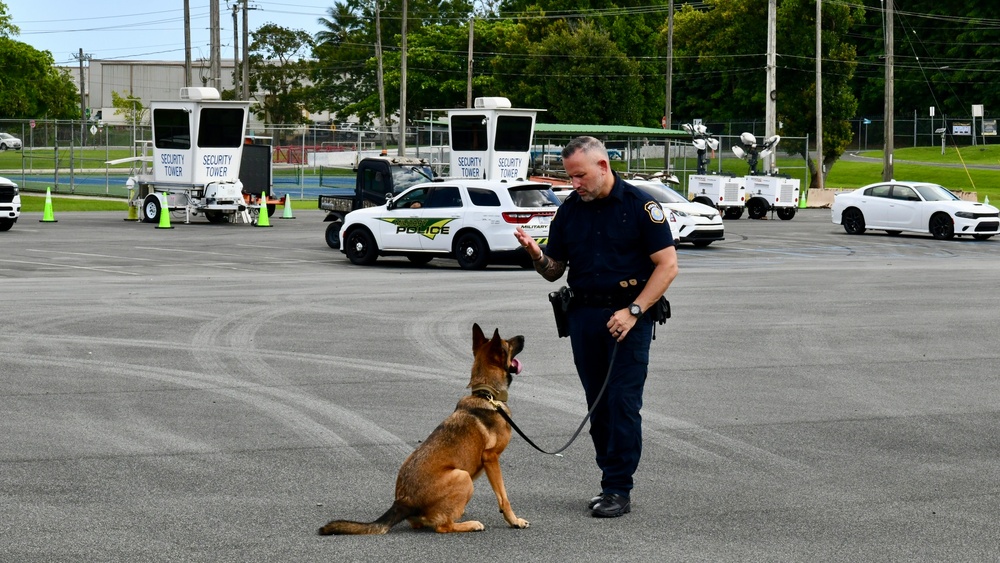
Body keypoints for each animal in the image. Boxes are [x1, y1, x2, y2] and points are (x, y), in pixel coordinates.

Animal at [320, 324, 532, 536]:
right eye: (508, 343)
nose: (523, 336)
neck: (487, 394)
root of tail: (403, 502)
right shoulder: (491, 458)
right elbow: (503, 497)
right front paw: (514, 520)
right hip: (462, 476)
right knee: (443, 527)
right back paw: (470, 524)